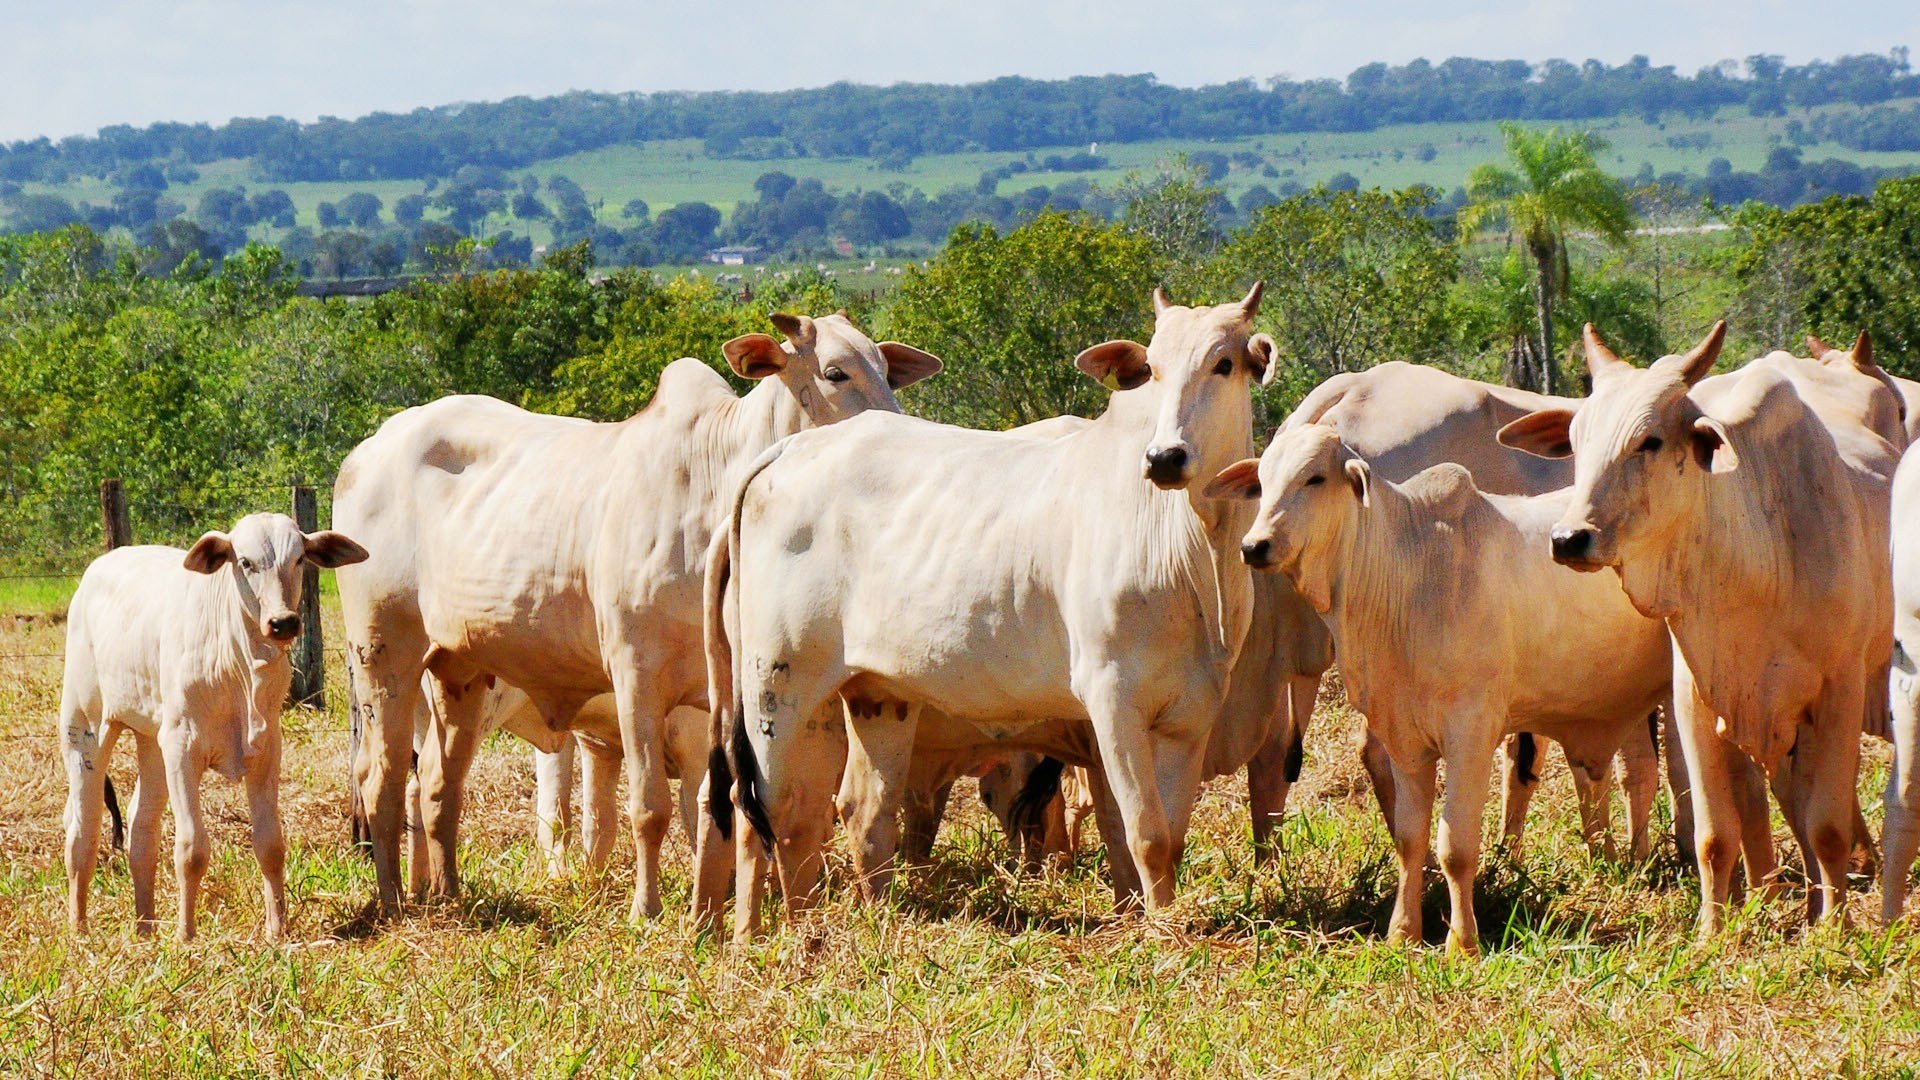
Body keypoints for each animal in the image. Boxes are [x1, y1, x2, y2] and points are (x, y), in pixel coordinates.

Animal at [61, 511, 364, 933]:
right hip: (85, 726)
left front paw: (277, 931)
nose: (283, 623)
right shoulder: (183, 747)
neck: (241, 666)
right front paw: (185, 935)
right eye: (246, 562)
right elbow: (191, 850)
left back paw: (145, 927)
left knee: (141, 827)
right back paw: (79, 928)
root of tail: (101, 566)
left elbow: (270, 844)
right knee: (82, 828)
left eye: (299, 559)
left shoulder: (266, 748)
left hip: (152, 739)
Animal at [336, 311, 936, 914]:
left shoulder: (717, 695)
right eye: (835, 372)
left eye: (886, 369)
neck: (712, 487)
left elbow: (711, 803)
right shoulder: (635, 675)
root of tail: (367, 452)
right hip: (382, 653)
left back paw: (450, 895)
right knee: (381, 778)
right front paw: (646, 909)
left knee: (439, 783)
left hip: (460, 670)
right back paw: (391, 901)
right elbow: (650, 807)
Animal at [710, 286, 1274, 933]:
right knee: (763, 807)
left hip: (878, 695)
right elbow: (1146, 835)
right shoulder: (1113, 702)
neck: (1193, 550)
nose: (1164, 458)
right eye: (1152, 369)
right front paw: (1160, 933)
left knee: (854, 812)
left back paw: (847, 923)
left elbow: (1170, 839)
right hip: (775, 685)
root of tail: (792, 448)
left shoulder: (1192, 713)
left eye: (1224, 363)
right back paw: (756, 934)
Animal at [1221, 424, 1674, 945]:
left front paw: (1462, 942)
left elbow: (1455, 846)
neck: (1407, 571)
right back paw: (1630, 863)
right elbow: (1409, 838)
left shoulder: (1471, 734)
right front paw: (1403, 932)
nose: (1255, 545)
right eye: (1261, 480)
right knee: (1636, 771)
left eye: (1314, 478)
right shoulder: (1402, 737)